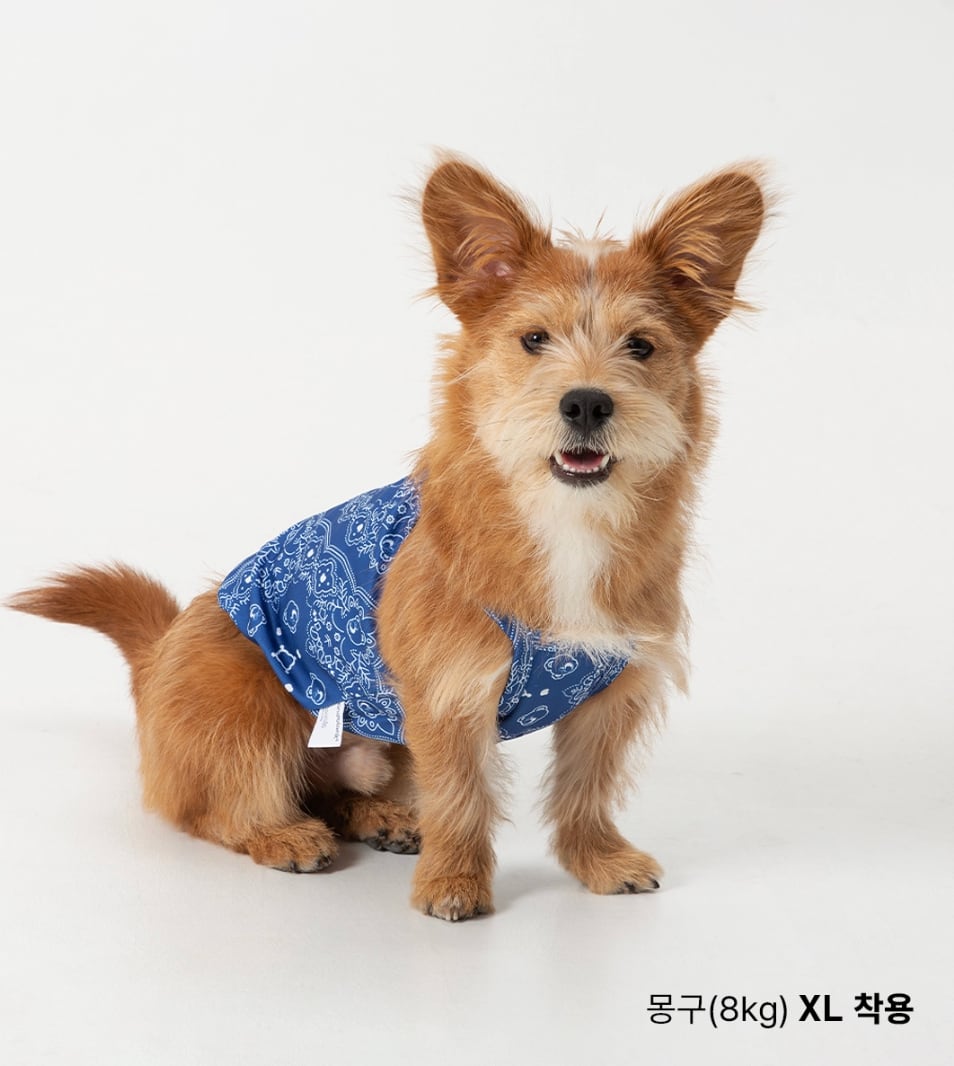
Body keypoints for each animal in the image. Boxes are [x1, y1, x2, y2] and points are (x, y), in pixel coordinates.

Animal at [9, 155, 766, 920]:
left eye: (640, 346)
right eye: (534, 339)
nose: (586, 402)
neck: (563, 517)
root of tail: (158, 652)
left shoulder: (610, 690)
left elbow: (587, 788)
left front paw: (599, 860)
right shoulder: (448, 689)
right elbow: (461, 794)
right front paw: (454, 882)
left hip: (381, 744)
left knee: (334, 793)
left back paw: (383, 818)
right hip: (244, 706)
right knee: (218, 807)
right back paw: (284, 834)